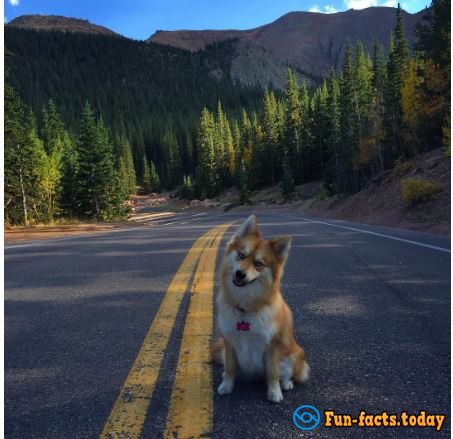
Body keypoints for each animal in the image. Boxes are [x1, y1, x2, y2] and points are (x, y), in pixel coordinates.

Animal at [211, 215, 308, 404]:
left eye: (258, 264)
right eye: (241, 255)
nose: (240, 274)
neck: (245, 306)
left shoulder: (272, 345)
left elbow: (272, 373)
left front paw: (274, 392)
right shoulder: (229, 343)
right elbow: (231, 369)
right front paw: (227, 385)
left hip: (292, 356)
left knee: (286, 374)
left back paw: (286, 384)